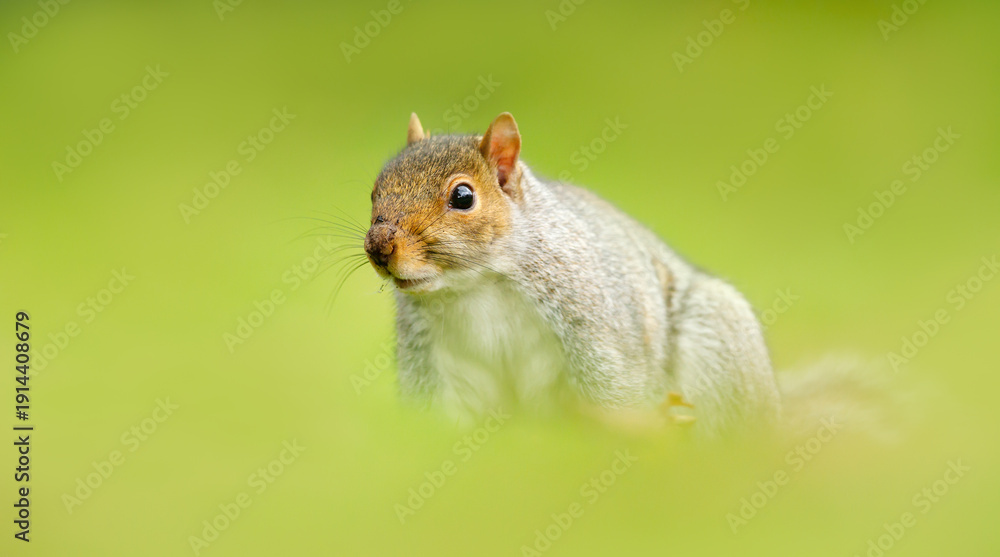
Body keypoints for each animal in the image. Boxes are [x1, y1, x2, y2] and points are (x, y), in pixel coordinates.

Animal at [362, 112, 781, 437]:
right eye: (374, 191)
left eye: (463, 197)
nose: (379, 247)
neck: (477, 285)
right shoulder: (433, 360)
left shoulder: (593, 333)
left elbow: (613, 398)